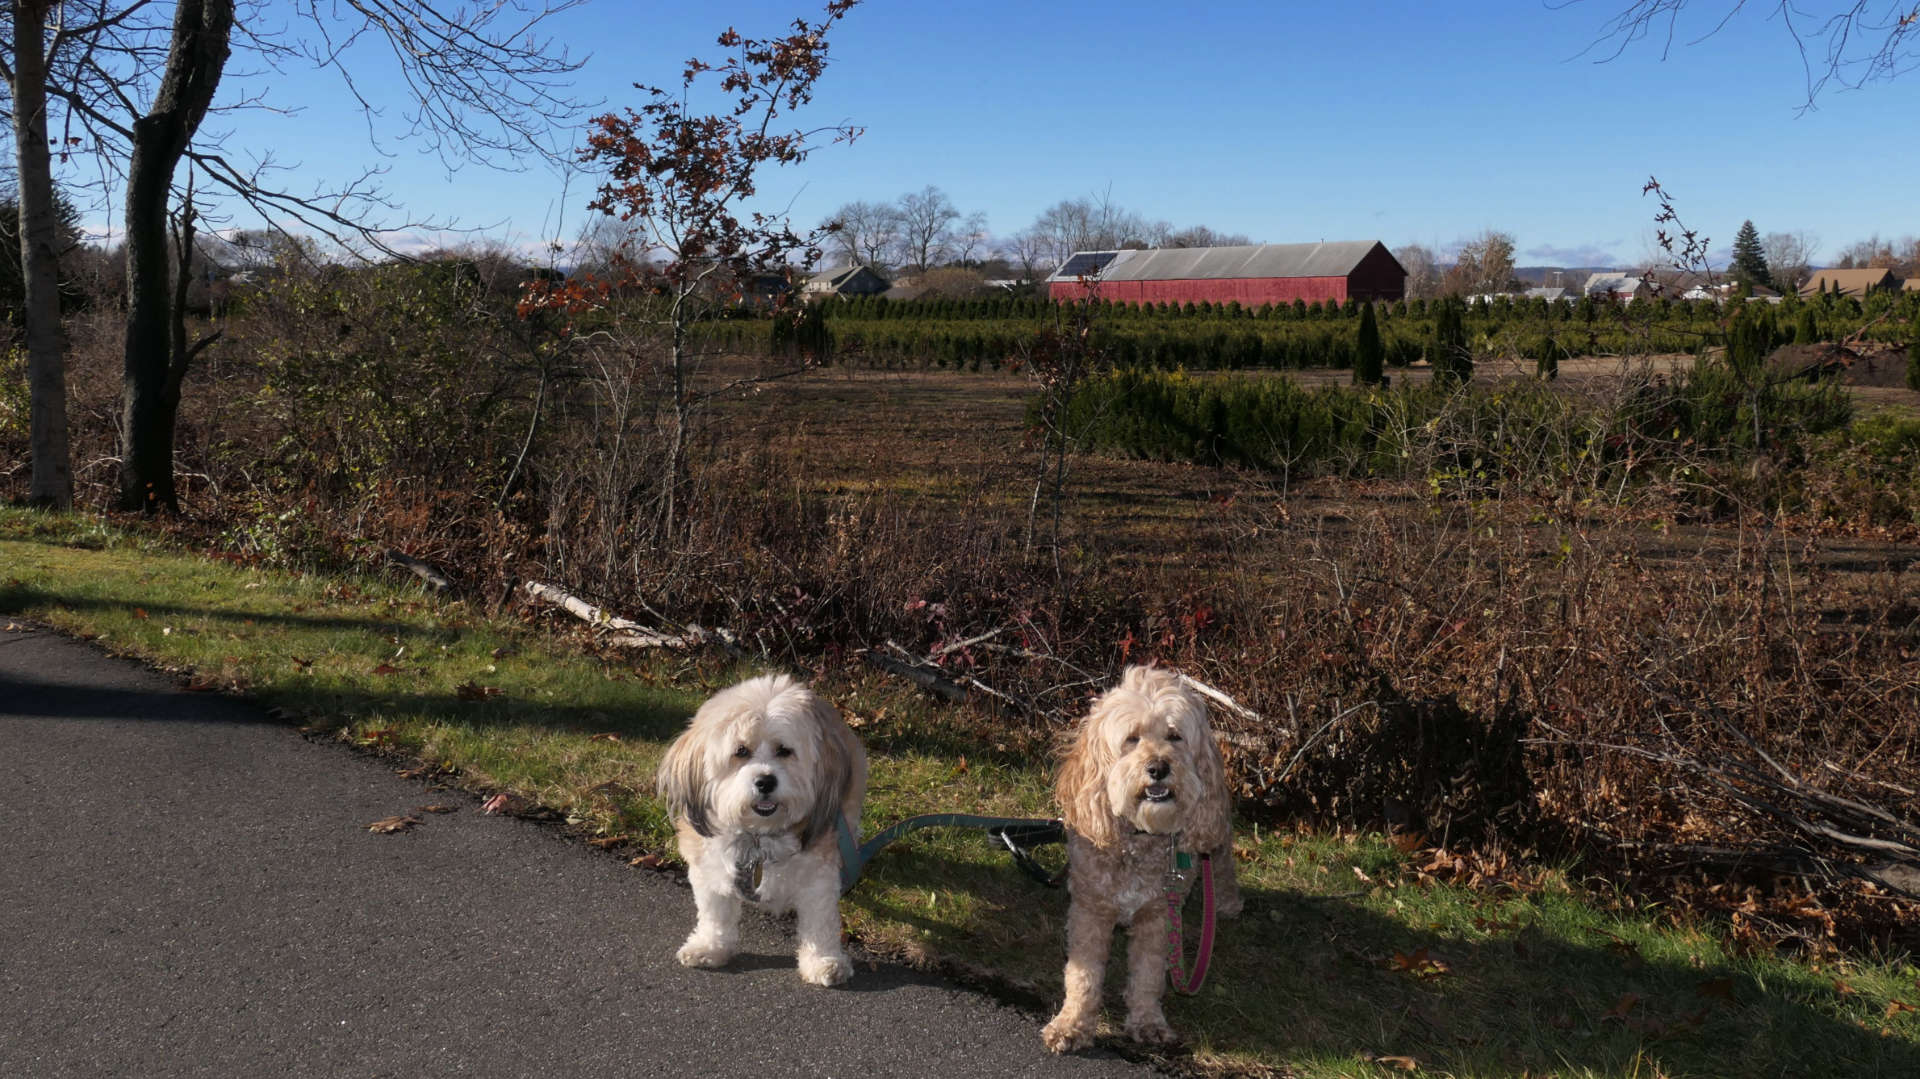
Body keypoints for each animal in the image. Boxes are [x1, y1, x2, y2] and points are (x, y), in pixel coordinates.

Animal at [660, 671, 871, 983]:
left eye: (784, 750)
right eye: (740, 751)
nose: (765, 781)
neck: (760, 837)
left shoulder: (819, 877)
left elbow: (820, 922)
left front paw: (823, 960)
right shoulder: (707, 867)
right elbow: (714, 913)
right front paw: (709, 947)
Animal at [1036, 664, 1244, 1052]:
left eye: (1175, 736)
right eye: (1131, 739)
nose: (1158, 768)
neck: (1139, 838)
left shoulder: (1159, 914)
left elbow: (1148, 974)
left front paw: (1148, 1022)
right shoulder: (1090, 909)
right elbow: (1083, 975)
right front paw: (1072, 1023)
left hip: (1215, 830)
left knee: (1220, 858)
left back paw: (1226, 901)